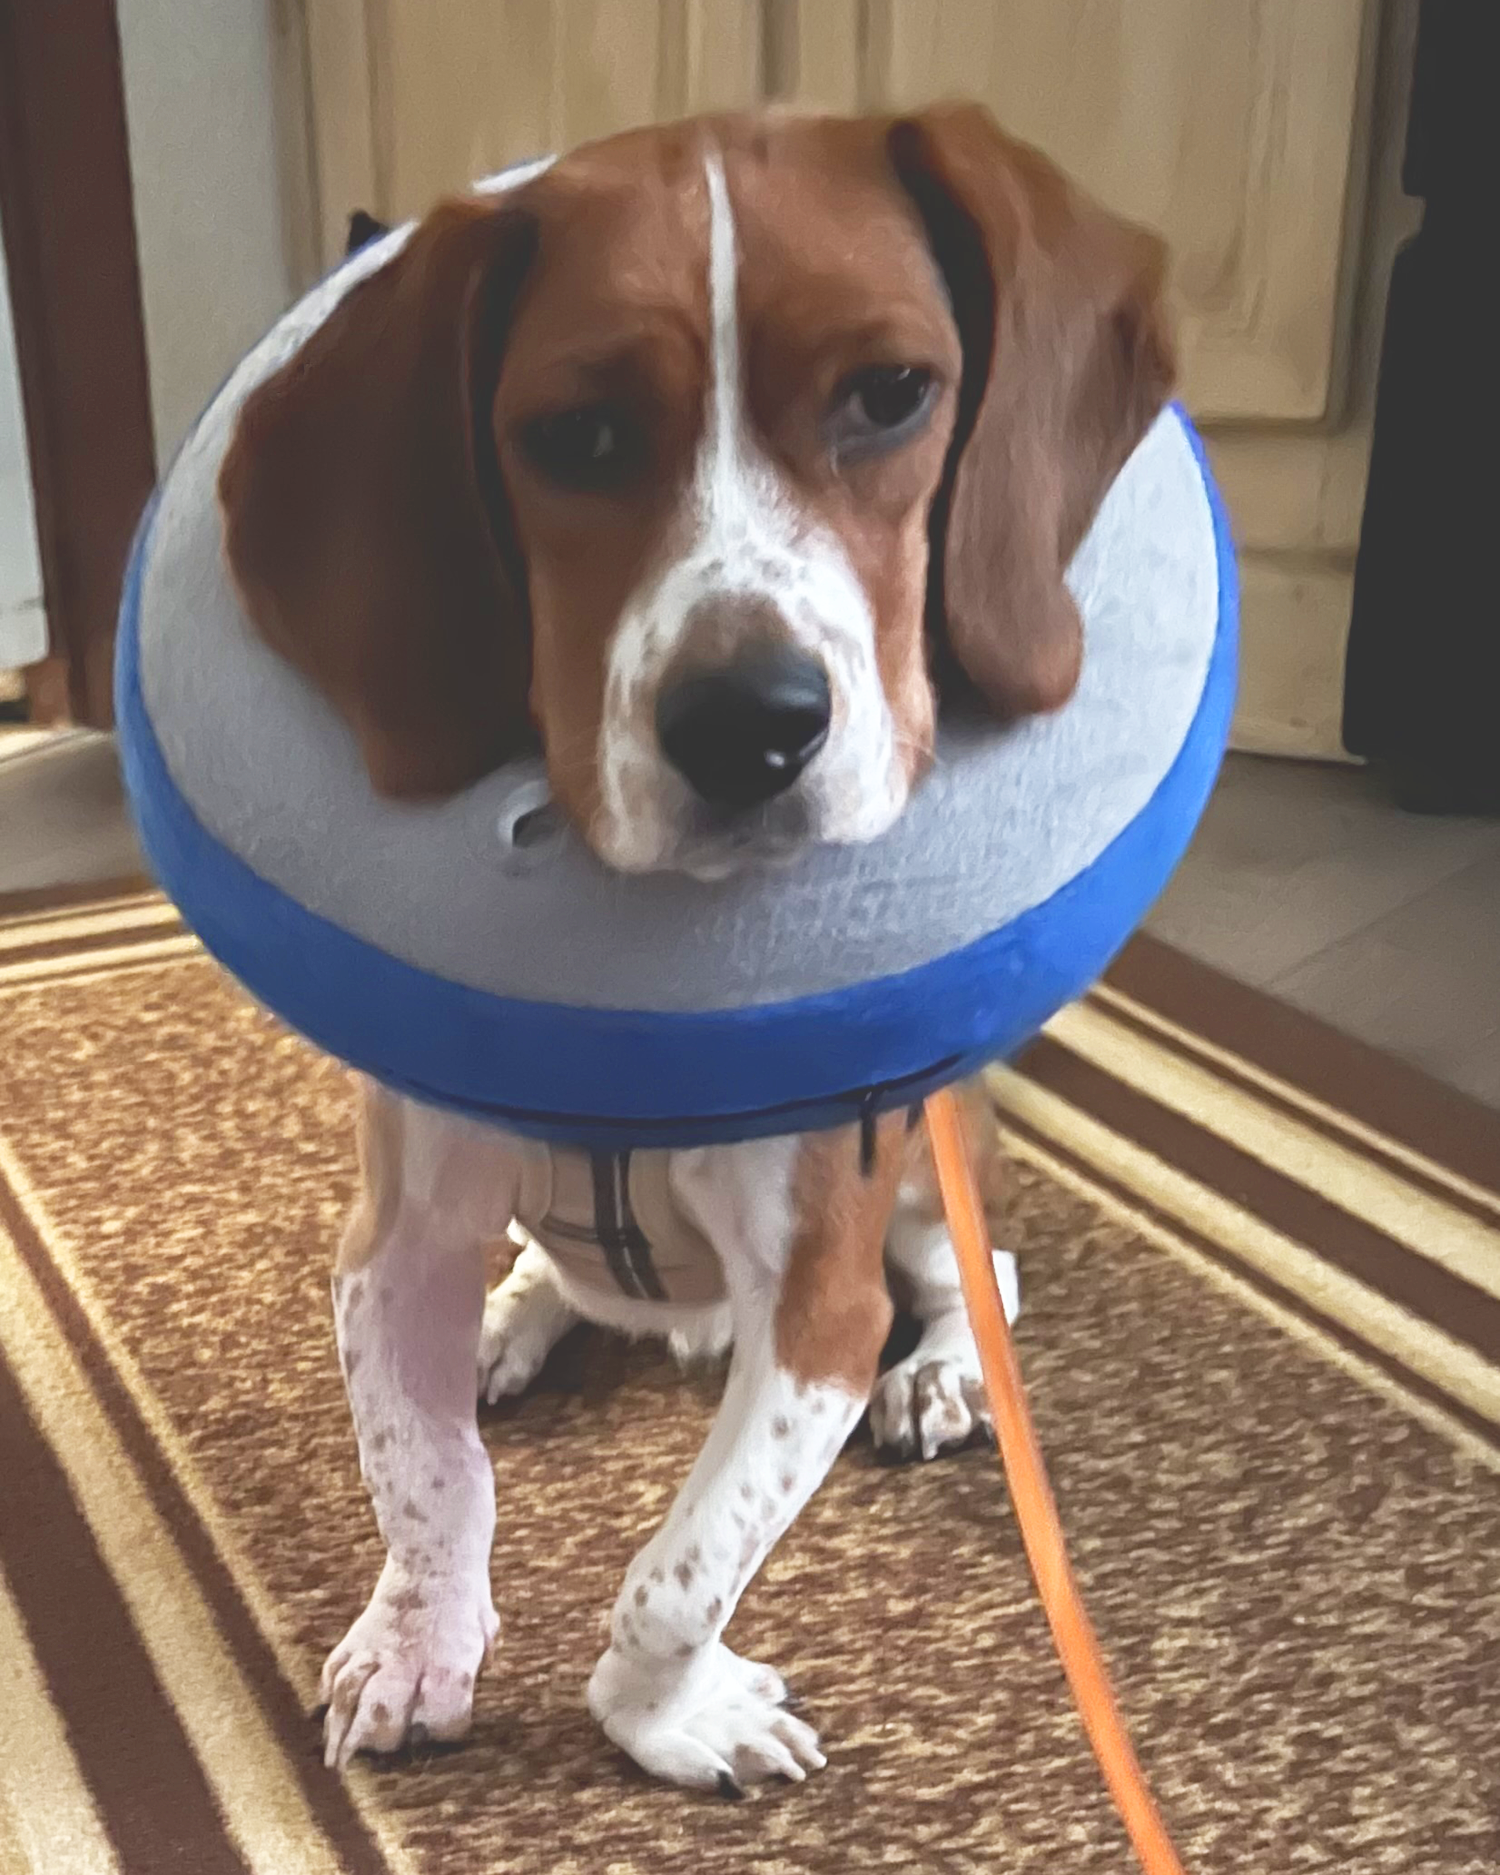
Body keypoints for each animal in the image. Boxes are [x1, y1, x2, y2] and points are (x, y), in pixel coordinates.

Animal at [216, 106, 1170, 1800]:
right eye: (577, 436)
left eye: (892, 394)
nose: (751, 724)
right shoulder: (394, 1238)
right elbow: (422, 1473)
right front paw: (414, 1642)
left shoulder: (819, 1312)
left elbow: (679, 1571)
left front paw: (665, 1714)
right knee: (549, 1286)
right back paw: (518, 1315)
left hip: (930, 1178)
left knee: (977, 1266)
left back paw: (946, 1371)